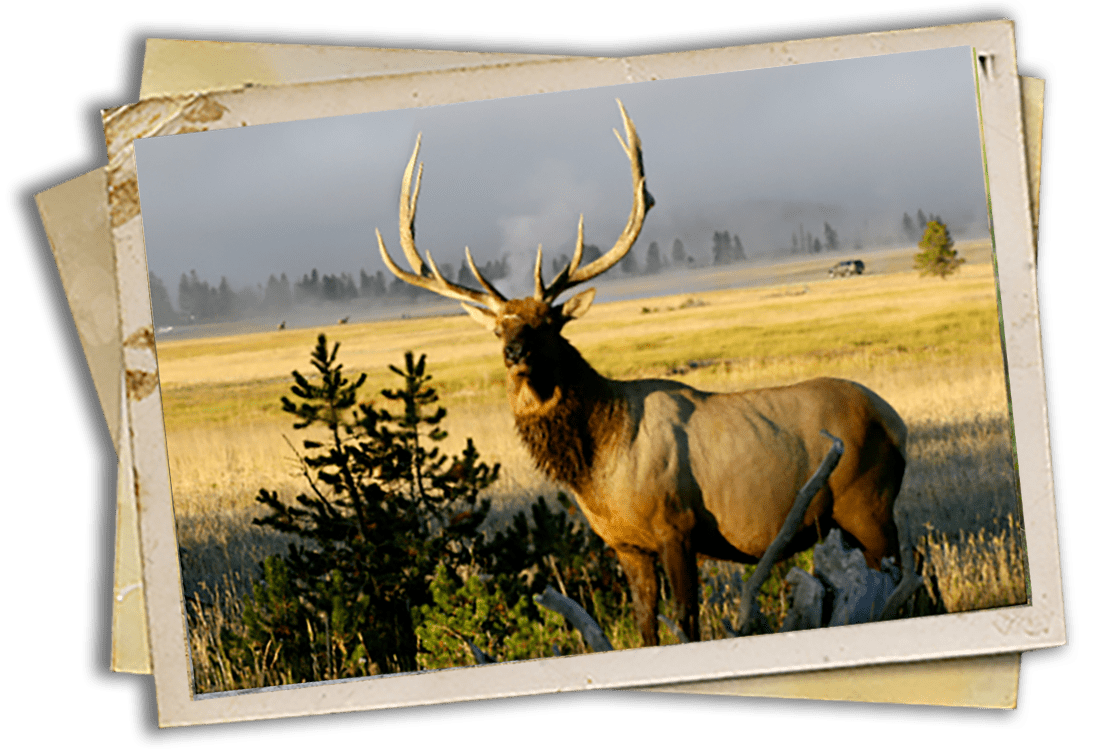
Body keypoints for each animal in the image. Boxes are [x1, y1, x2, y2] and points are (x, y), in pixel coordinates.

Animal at [375, 101, 920, 646]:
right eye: (497, 328)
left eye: (549, 321)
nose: (514, 352)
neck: (599, 469)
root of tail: (896, 421)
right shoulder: (626, 543)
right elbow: (644, 628)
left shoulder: (676, 526)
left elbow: (687, 620)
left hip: (869, 505)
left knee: (903, 582)